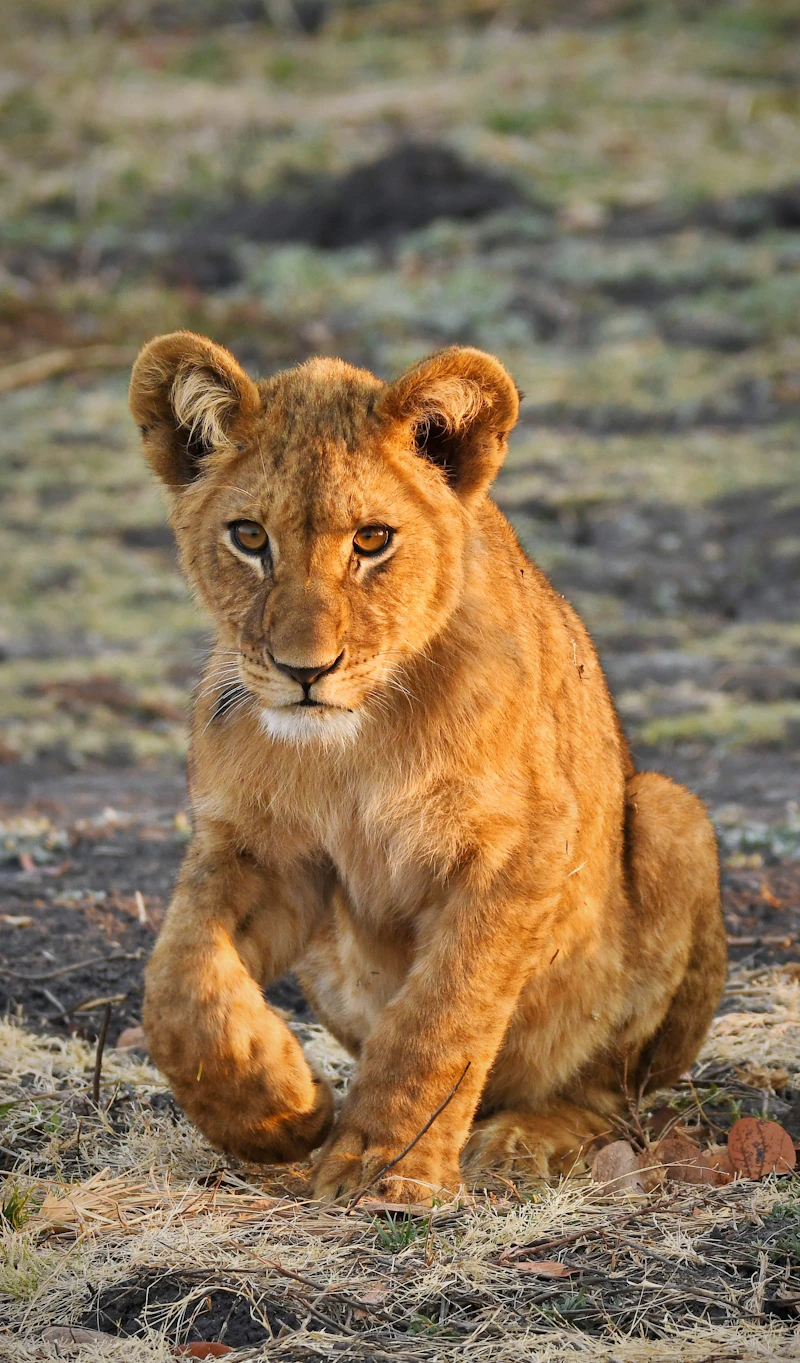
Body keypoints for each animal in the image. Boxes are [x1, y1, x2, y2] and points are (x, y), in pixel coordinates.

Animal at [129, 330, 726, 1202]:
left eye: (372, 540)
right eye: (249, 537)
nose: (305, 670)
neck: (352, 746)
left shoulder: (519, 851)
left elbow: (442, 1012)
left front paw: (385, 1163)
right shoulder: (259, 848)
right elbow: (177, 983)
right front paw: (279, 1111)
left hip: (671, 813)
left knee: (609, 1090)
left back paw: (524, 1141)